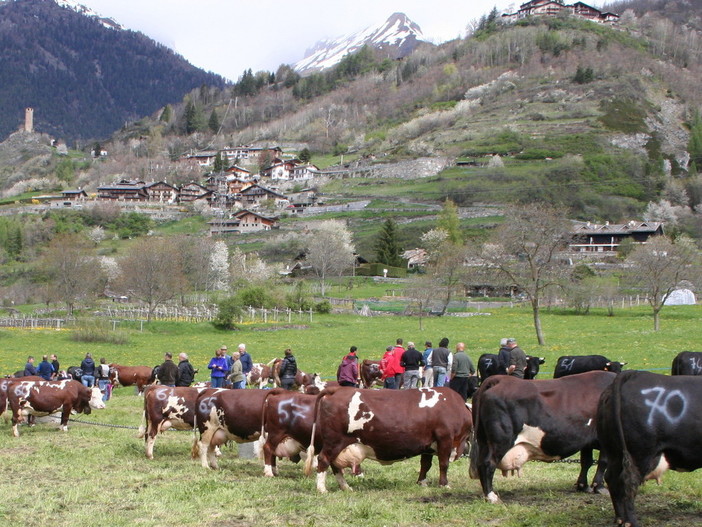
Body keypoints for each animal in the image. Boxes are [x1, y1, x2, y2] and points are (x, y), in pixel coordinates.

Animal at [304, 386, 472, 492]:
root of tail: (337, 389)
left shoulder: (428, 446)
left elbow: (425, 465)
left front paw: (422, 482)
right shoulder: (446, 439)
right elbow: (443, 464)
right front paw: (444, 485)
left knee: (335, 465)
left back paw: (345, 487)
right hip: (334, 442)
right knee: (324, 460)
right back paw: (322, 489)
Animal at [470, 370, 620, 506]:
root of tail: (499, 379)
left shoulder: (586, 442)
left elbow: (587, 462)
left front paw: (583, 486)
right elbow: (603, 462)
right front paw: (599, 487)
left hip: (483, 440)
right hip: (500, 440)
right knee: (488, 463)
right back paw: (491, 497)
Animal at [600, 372, 702, 527]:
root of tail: (633, 374)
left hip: (614, 451)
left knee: (612, 478)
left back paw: (620, 518)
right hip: (640, 454)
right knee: (629, 482)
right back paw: (631, 522)